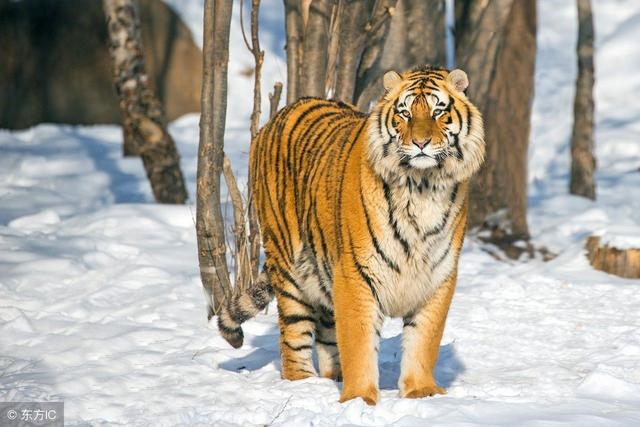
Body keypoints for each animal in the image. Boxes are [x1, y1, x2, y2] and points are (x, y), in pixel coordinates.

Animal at [218, 66, 482, 404]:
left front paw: (420, 392)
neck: (422, 185)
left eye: (438, 111)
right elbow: (358, 342)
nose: (421, 143)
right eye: (405, 113)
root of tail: (277, 117)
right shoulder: (356, 273)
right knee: (294, 334)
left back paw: (333, 377)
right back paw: (303, 385)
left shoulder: (437, 275)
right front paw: (359, 399)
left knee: (327, 334)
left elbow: (424, 340)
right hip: (289, 266)